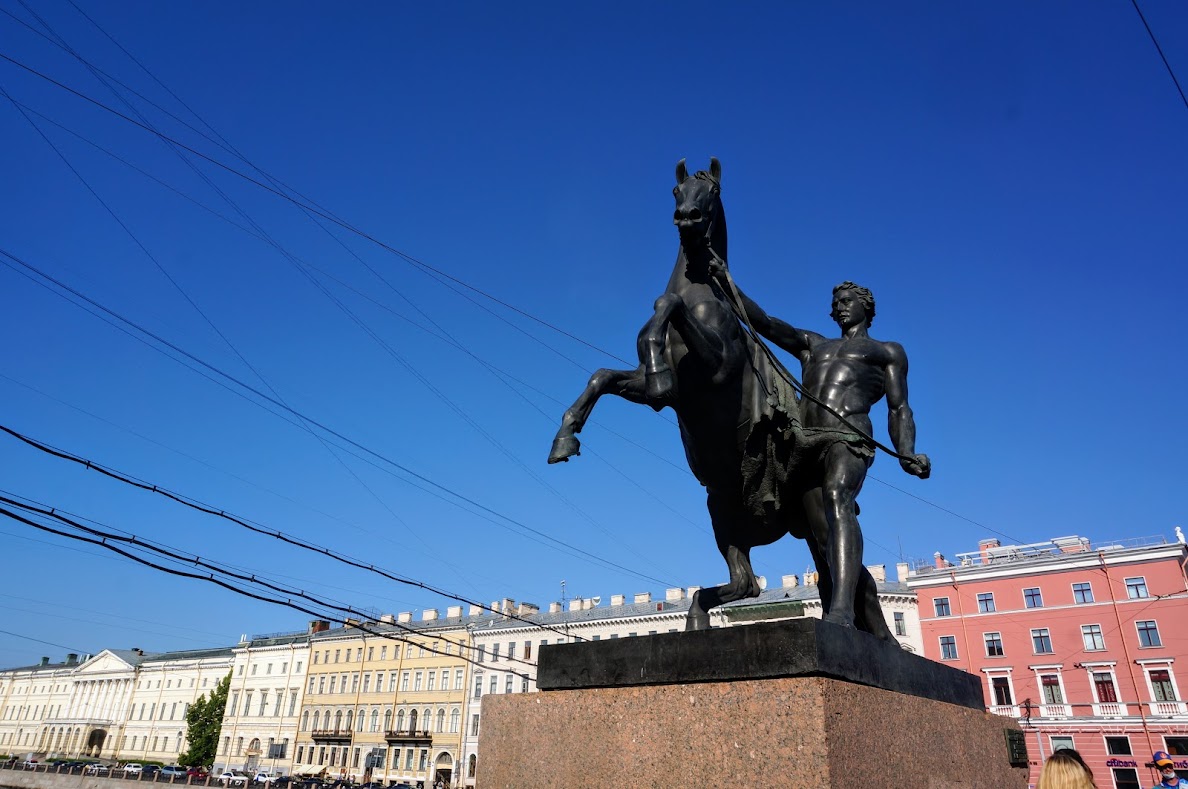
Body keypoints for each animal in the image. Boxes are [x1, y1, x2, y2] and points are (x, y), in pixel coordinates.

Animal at [548, 159, 817, 627]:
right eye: (676, 190)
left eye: (712, 191)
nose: (687, 218)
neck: (700, 293)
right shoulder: (663, 393)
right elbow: (602, 376)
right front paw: (565, 438)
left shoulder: (718, 368)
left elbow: (666, 305)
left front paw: (657, 360)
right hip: (722, 513)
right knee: (746, 583)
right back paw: (696, 615)